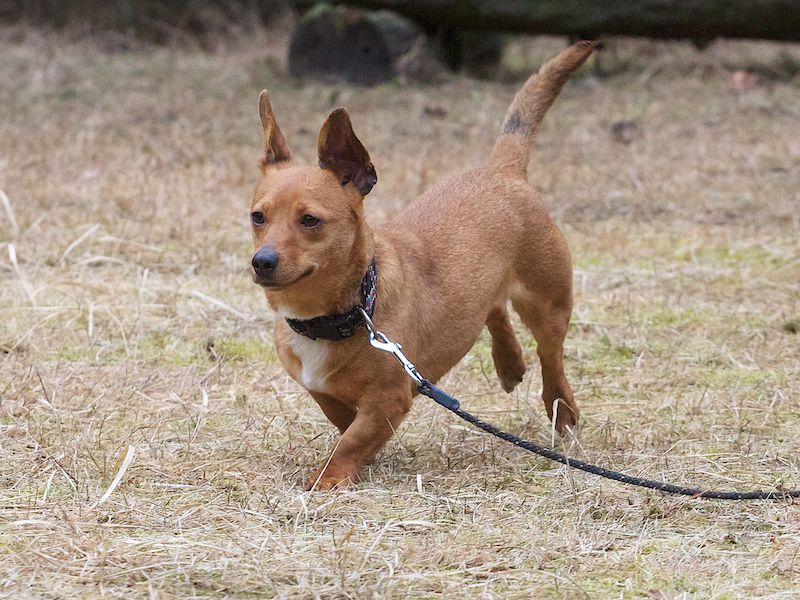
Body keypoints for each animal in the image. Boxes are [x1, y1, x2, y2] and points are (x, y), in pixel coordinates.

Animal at [249, 41, 596, 490]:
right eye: (257, 217)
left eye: (310, 220)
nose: (262, 262)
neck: (351, 309)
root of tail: (502, 170)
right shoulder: (323, 391)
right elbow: (344, 421)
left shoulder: (389, 397)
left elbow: (353, 438)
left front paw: (328, 479)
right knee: (493, 309)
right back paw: (509, 362)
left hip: (548, 302)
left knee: (550, 356)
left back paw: (561, 409)